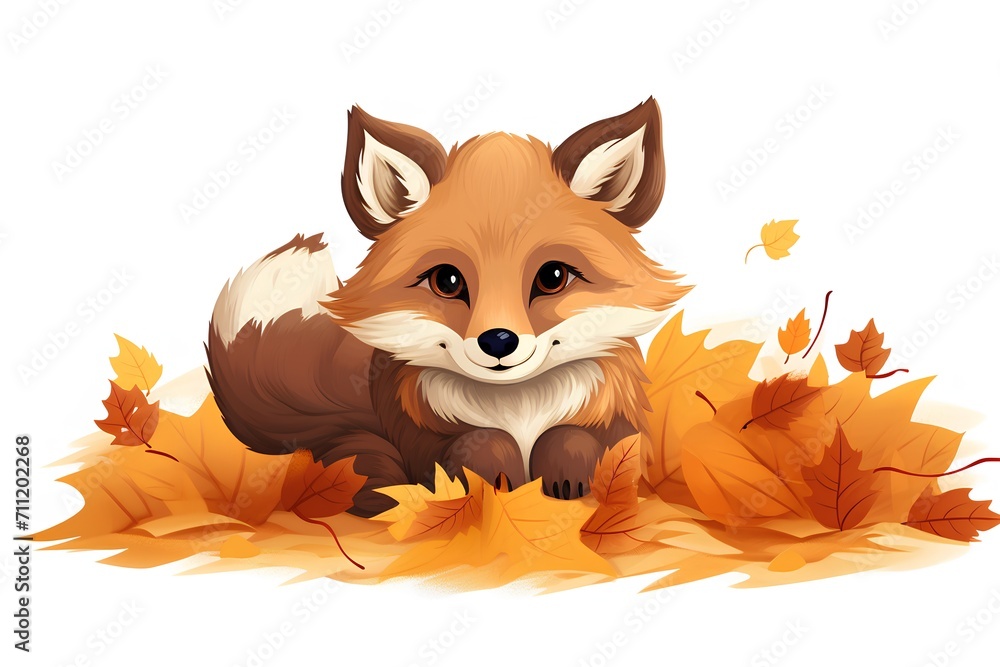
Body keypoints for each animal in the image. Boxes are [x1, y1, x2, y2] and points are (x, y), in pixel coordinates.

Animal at [206, 97, 690, 517]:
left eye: (553, 277)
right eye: (447, 281)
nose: (499, 341)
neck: (519, 410)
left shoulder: (621, 426)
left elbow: (582, 440)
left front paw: (567, 472)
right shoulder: (419, 440)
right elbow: (473, 450)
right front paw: (497, 477)